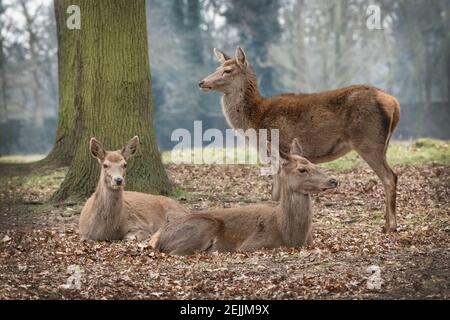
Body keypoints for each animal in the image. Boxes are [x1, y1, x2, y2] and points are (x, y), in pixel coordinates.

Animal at [151, 139, 338, 255]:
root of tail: (161, 238)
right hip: (202, 226)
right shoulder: (250, 245)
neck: (290, 235)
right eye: (302, 169)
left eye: (314, 164)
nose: (333, 180)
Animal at [199, 46, 400, 232]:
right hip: (383, 144)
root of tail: (394, 104)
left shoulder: (280, 148)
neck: (256, 120)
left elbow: (276, 193)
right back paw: (386, 224)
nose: (201, 82)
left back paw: (391, 226)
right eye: (218, 66)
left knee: (390, 177)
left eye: (228, 70)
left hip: (368, 141)